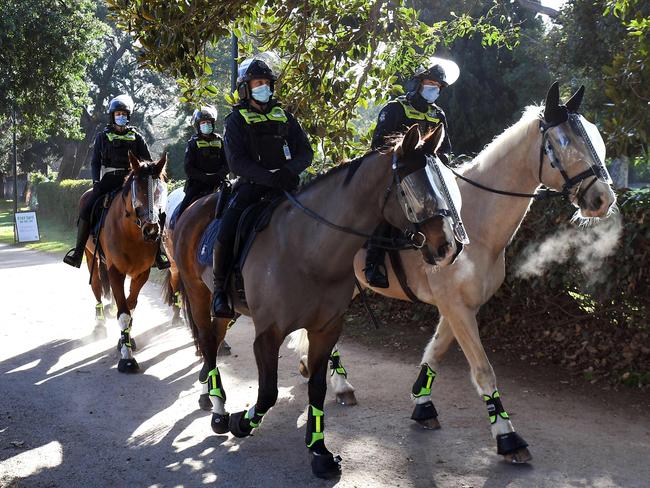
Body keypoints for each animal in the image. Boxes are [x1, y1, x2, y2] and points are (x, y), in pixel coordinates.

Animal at [83, 152, 167, 374]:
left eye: (161, 189)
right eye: (138, 189)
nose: (152, 230)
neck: (131, 232)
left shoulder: (141, 273)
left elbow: (130, 306)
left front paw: (125, 341)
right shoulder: (115, 272)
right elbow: (124, 313)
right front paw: (127, 358)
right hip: (90, 256)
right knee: (96, 287)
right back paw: (99, 325)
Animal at [170, 124, 458, 478]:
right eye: (415, 190)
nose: (448, 247)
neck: (307, 250)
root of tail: (195, 206)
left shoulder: (326, 330)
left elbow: (317, 388)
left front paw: (319, 451)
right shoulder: (268, 334)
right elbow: (268, 391)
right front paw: (242, 422)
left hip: (225, 308)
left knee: (213, 336)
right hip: (198, 293)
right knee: (208, 345)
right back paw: (220, 410)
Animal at [292, 82, 616, 464]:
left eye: (594, 137)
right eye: (563, 142)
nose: (603, 199)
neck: (474, 222)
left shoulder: (461, 306)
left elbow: (435, 351)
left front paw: (423, 403)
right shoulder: (456, 306)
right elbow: (483, 370)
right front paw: (507, 436)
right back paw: (337, 381)